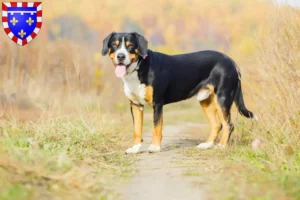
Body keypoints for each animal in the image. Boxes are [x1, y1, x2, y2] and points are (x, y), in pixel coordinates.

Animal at [102, 31, 256, 153]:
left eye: (130, 46)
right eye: (114, 45)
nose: (121, 56)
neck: (138, 69)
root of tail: (231, 61)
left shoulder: (157, 103)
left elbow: (156, 128)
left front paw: (155, 147)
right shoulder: (135, 105)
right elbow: (136, 130)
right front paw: (135, 148)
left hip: (223, 98)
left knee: (228, 125)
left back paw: (221, 146)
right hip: (205, 100)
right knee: (217, 124)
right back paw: (207, 145)